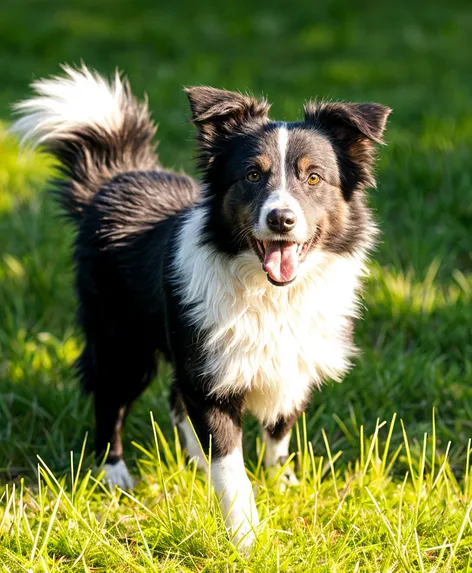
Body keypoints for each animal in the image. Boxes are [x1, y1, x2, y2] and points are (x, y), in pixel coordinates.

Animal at [12, 66, 390, 548]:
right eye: (252, 175)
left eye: (314, 178)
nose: (281, 219)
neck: (270, 292)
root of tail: (116, 175)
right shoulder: (211, 381)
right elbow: (230, 467)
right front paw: (244, 536)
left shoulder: (292, 365)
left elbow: (279, 431)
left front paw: (282, 483)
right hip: (123, 341)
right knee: (110, 398)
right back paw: (114, 473)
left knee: (174, 395)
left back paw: (191, 458)